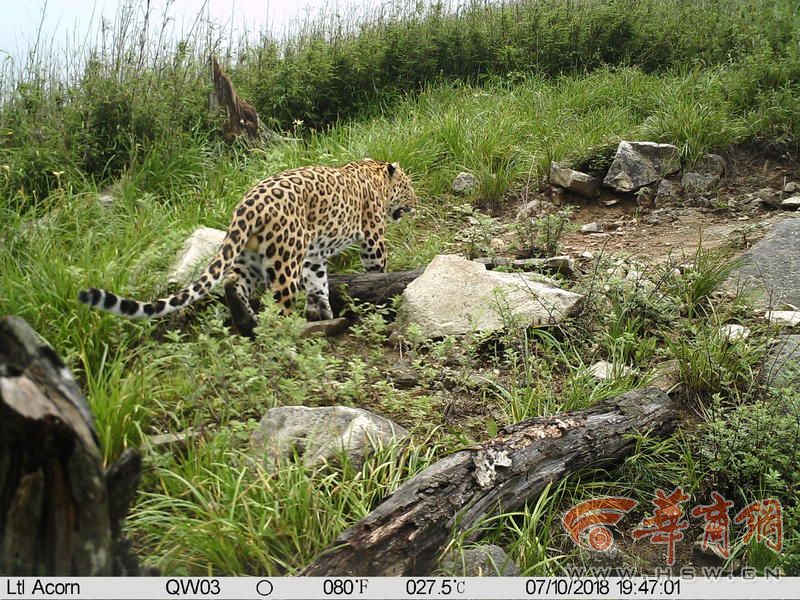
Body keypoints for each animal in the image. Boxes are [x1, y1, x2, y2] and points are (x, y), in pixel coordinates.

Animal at [79, 158, 418, 338]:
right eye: (408, 188)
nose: (414, 204)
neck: (373, 174)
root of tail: (248, 203)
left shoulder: (313, 256)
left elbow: (318, 283)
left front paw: (322, 312)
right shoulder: (373, 238)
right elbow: (377, 268)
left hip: (252, 256)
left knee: (231, 282)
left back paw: (247, 321)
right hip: (284, 258)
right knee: (280, 303)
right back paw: (287, 332)